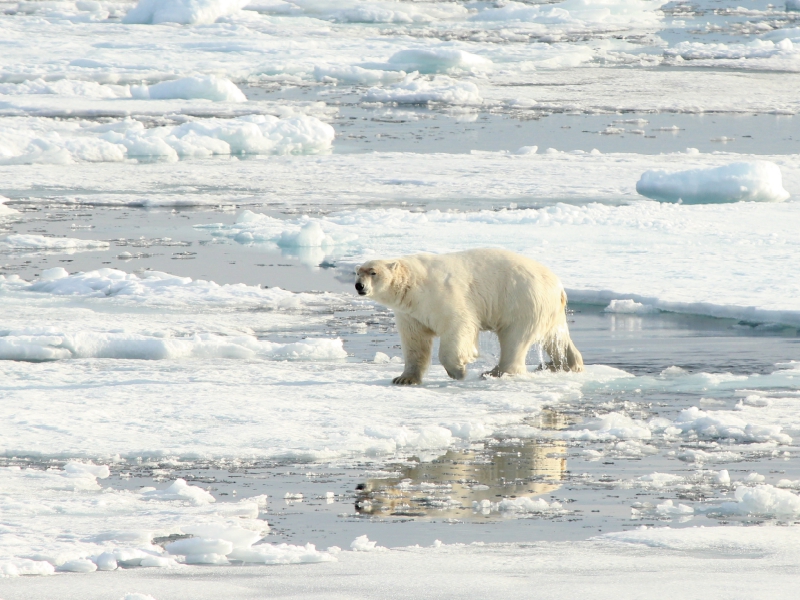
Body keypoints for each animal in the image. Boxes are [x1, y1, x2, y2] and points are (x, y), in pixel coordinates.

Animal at [354, 247, 580, 384]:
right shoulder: (410, 313)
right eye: (357, 272)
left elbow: (458, 326)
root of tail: (558, 286)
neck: (414, 284)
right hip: (547, 308)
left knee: (515, 337)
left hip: (523, 299)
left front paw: (459, 371)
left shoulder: (443, 295)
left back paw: (495, 372)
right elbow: (415, 341)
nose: (359, 286)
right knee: (555, 336)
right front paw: (404, 379)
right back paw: (566, 364)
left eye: (373, 272)